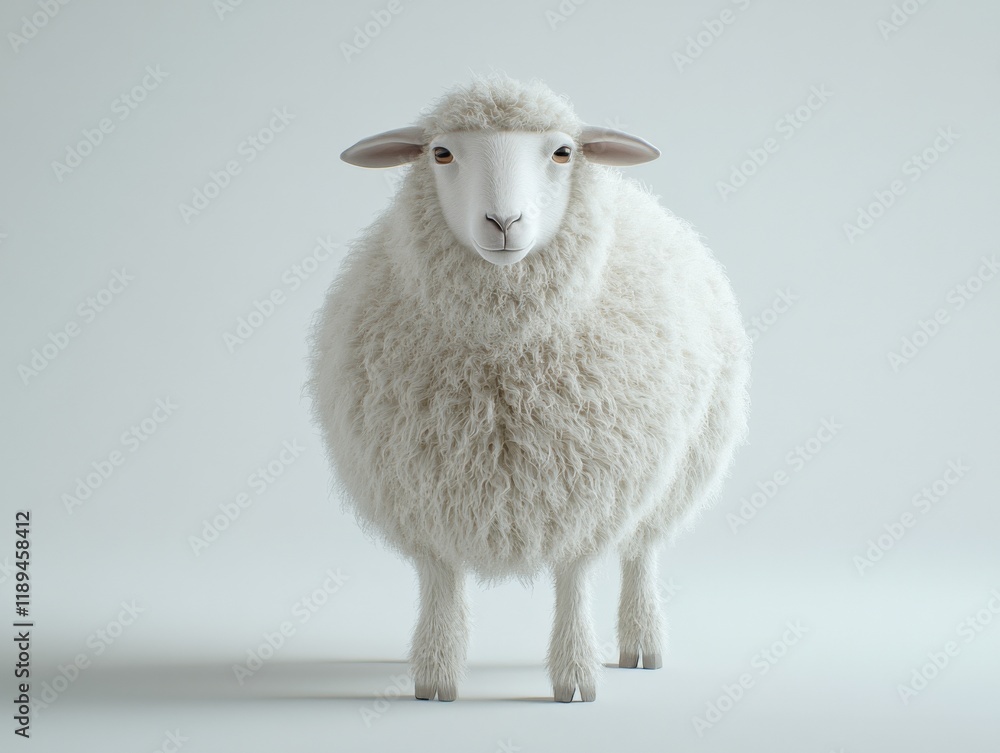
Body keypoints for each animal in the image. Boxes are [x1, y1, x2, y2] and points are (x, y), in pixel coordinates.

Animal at [308, 74, 751, 703]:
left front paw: (576, 676)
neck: (505, 354)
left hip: (675, 472)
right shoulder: (420, 491)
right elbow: (440, 581)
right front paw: (435, 673)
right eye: (441, 152)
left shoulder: (589, 486)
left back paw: (642, 645)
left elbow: (574, 579)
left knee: (641, 553)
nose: (503, 222)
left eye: (563, 152)